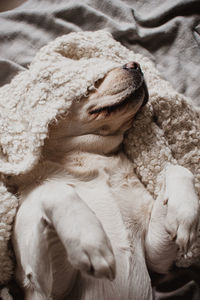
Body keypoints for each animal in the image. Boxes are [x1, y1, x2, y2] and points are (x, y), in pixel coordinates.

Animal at [8, 60, 198, 298]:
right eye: (92, 84)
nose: (134, 64)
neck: (91, 158)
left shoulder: (155, 256)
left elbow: (177, 169)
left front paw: (185, 214)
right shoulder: (45, 285)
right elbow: (55, 189)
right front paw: (89, 239)